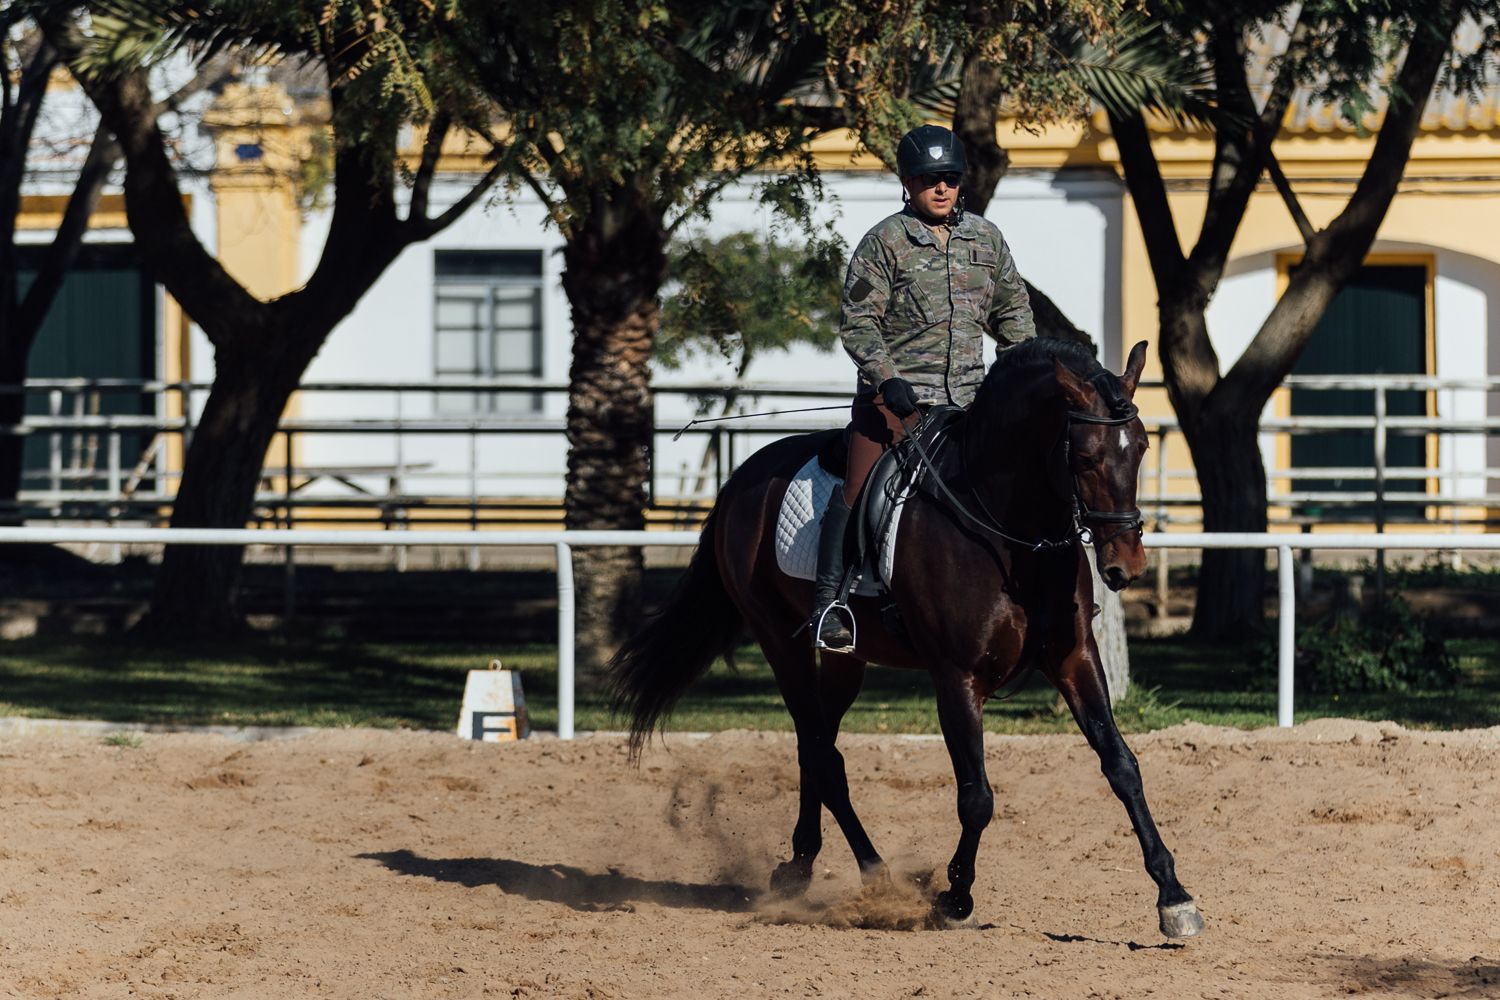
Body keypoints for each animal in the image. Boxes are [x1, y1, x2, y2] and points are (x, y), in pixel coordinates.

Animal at [607, 337, 1205, 938]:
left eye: (1142, 449)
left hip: (845, 660)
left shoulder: (1074, 658)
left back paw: (799, 867)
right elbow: (977, 797)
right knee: (822, 753)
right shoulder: (957, 677)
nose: (1126, 566)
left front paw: (1174, 898)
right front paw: (955, 897)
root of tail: (741, 478)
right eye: (1083, 458)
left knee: (815, 746)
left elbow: (1123, 767)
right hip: (780, 641)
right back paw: (877, 878)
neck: (1001, 527)